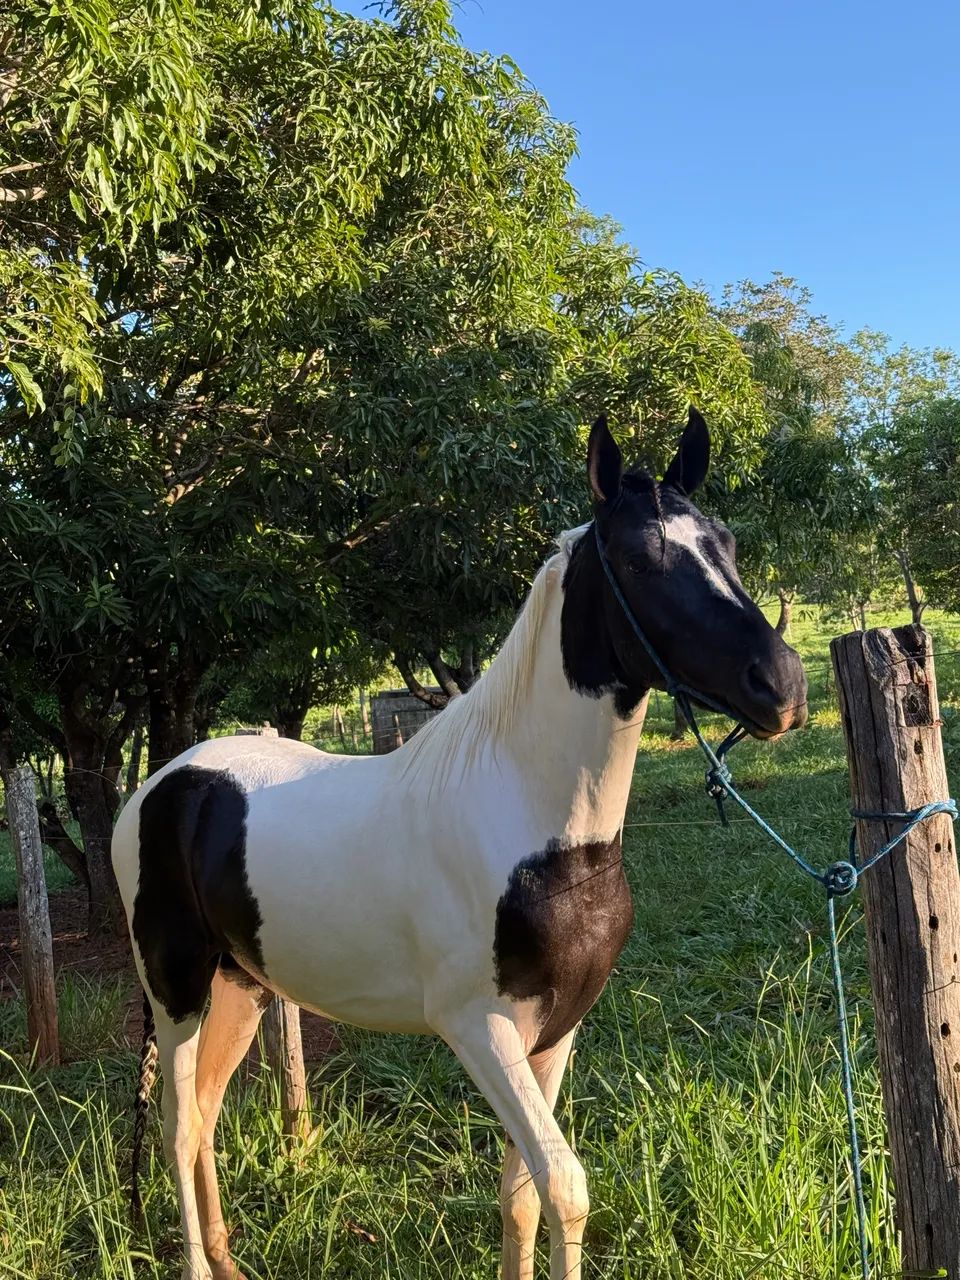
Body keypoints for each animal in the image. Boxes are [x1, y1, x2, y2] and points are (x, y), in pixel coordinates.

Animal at [113, 409, 808, 1280]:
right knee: (176, 1128)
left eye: (727, 544)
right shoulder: (478, 1026)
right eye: (640, 559)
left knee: (203, 1113)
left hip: (242, 985)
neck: (528, 821)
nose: (781, 686)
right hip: (175, 984)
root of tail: (161, 785)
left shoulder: (555, 1030)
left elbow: (523, 1192)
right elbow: (565, 1185)